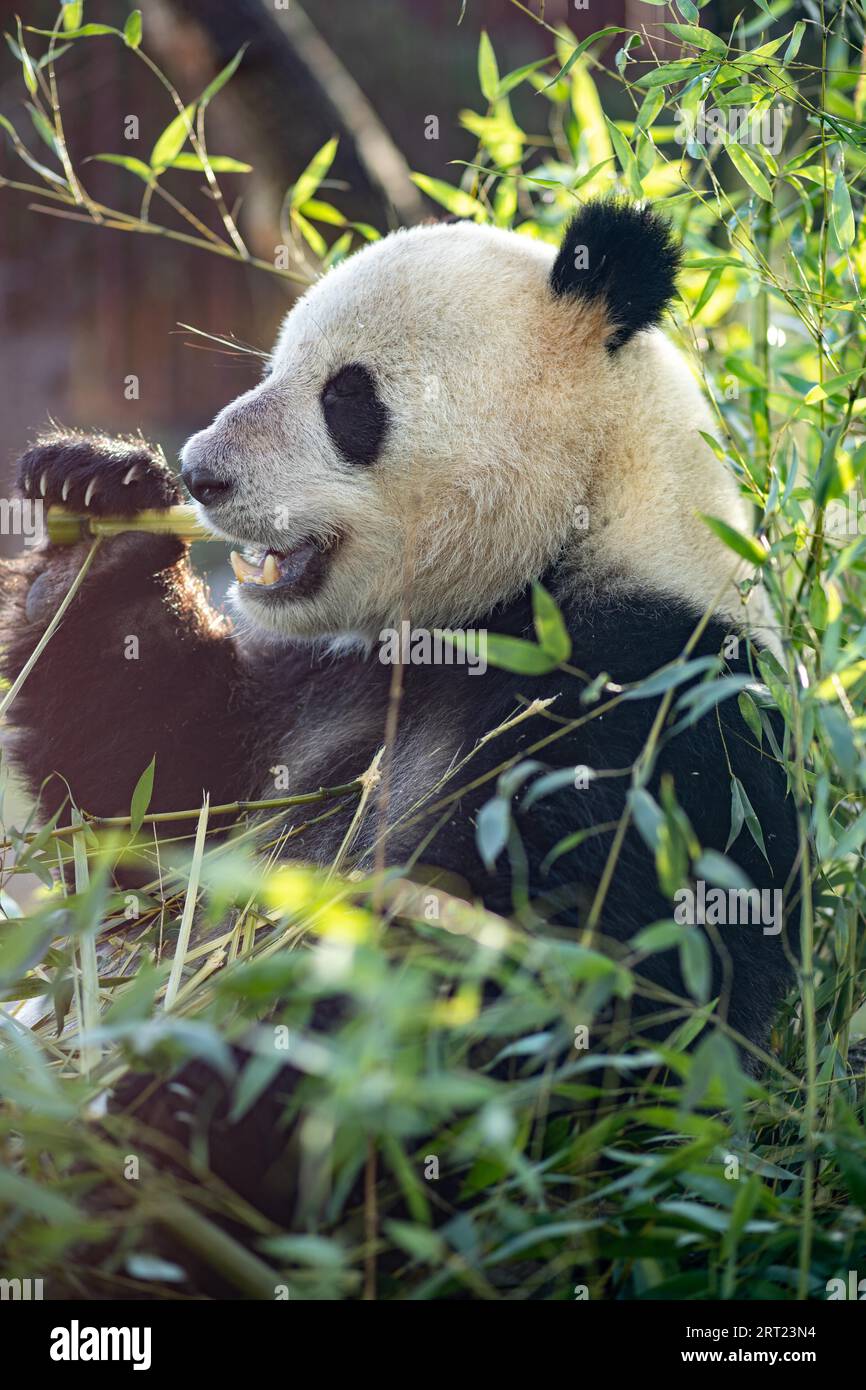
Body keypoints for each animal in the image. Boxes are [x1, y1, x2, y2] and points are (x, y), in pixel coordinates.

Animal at [0, 200, 798, 1242]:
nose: (203, 475)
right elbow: (154, 804)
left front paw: (192, 1104)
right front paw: (98, 514)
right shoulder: (322, 683)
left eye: (348, 397)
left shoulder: (653, 710)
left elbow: (561, 989)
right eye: (273, 363)